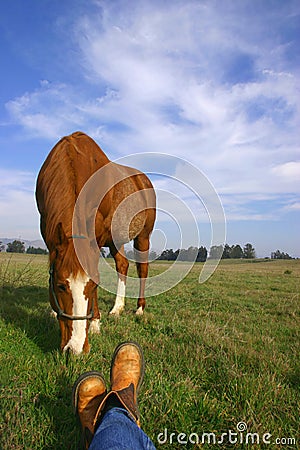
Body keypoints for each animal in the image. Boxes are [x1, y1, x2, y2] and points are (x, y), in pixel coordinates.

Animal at [35, 132, 155, 354]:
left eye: (92, 286)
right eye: (60, 286)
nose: (75, 348)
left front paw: (95, 324)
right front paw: (53, 311)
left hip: (143, 237)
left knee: (142, 269)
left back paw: (139, 309)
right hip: (116, 239)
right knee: (123, 265)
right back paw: (117, 308)